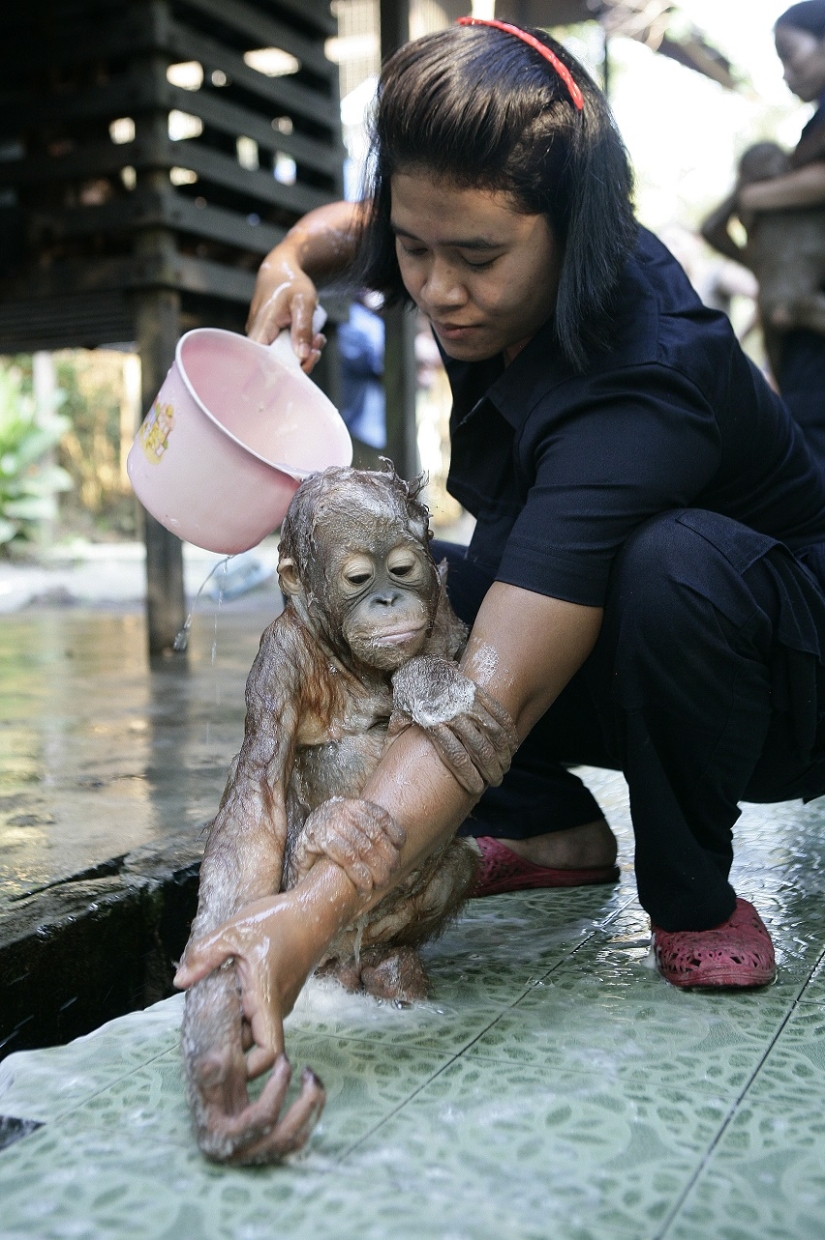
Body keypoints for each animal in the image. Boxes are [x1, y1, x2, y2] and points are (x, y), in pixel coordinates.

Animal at [180, 464, 519, 1165]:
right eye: (359, 579)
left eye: (404, 569)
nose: (388, 601)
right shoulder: (277, 658)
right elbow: (252, 816)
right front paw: (221, 1084)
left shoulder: (443, 608)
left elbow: (476, 652)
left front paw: (430, 686)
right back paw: (329, 837)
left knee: (459, 861)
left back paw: (388, 965)